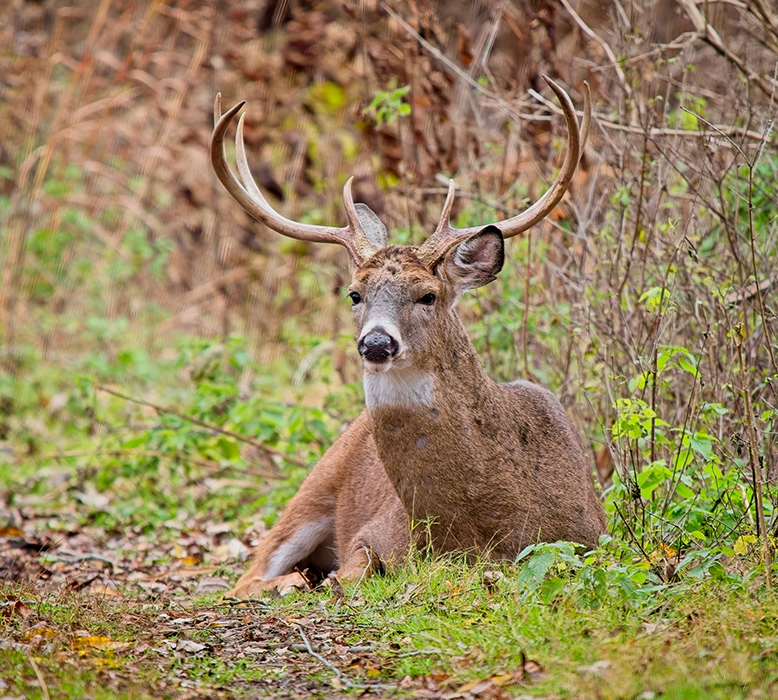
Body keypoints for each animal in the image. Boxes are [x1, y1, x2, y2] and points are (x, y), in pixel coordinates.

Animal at [211, 80, 608, 596]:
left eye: (428, 295)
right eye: (354, 293)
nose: (377, 344)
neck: (479, 530)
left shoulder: (591, 539)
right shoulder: (373, 533)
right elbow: (351, 574)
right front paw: (318, 581)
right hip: (312, 486)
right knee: (245, 580)